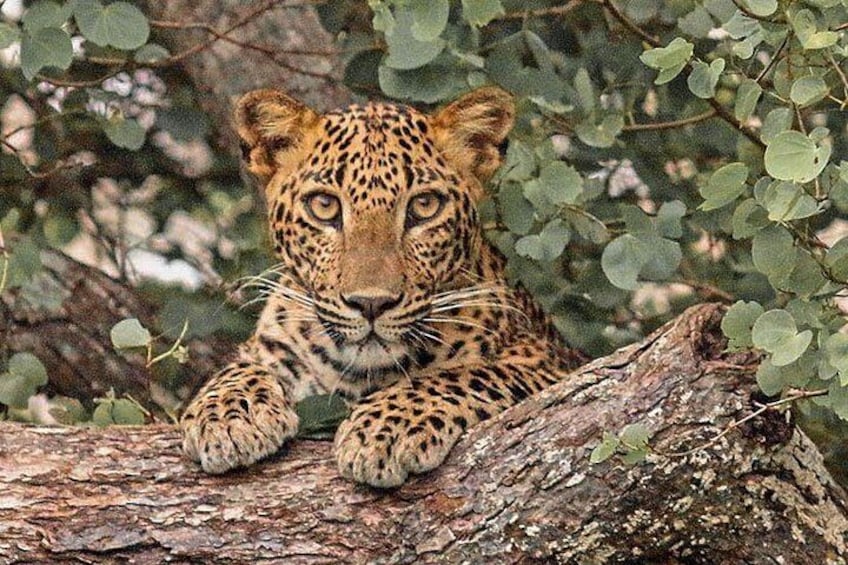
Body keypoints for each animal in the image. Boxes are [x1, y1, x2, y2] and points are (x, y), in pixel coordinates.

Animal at [179, 86, 585, 488]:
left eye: (424, 205)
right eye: (324, 205)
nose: (370, 304)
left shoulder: (551, 363)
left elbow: (468, 375)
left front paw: (386, 428)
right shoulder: (272, 345)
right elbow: (238, 367)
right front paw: (228, 416)